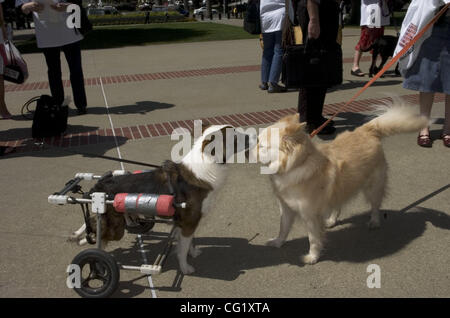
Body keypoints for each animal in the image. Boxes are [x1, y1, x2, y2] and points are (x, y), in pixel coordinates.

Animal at [71, 123, 251, 274]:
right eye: (235, 136)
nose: (252, 135)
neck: (207, 164)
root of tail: (98, 186)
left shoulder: (189, 221)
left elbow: (190, 242)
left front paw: (193, 253)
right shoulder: (189, 221)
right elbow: (183, 249)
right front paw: (185, 268)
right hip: (115, 228)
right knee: (98, 233)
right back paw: (89, 248)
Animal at [255, 103, 428, 264]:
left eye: (262, 147)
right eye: (257, 142)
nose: (248, 151)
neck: (297, 165)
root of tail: (367, 130)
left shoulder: (310, 216)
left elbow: (313, 239)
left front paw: (312, 257)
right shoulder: (285, 208)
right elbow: (283, 228)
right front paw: (278, 242)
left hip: (372, 187)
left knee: (375, 206)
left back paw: (374, 221)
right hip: (339, 187)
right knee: (337, 205)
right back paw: (332, 220)